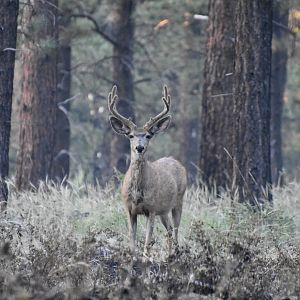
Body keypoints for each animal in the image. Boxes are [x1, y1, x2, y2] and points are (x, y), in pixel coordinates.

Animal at [108, 85, 188, 258]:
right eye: (130, 135)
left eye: (149, 135)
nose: (139, 147)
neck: (137, 192)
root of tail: (176, 161)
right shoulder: (129, 209)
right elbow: (132, 240)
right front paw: (133, 260)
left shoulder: (151, 208)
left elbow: (147, 243)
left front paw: (146, 261)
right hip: (163, 211)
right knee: (169, 230)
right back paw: (169, 256)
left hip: (178, 201)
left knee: (176, 230)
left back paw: (175, 255)